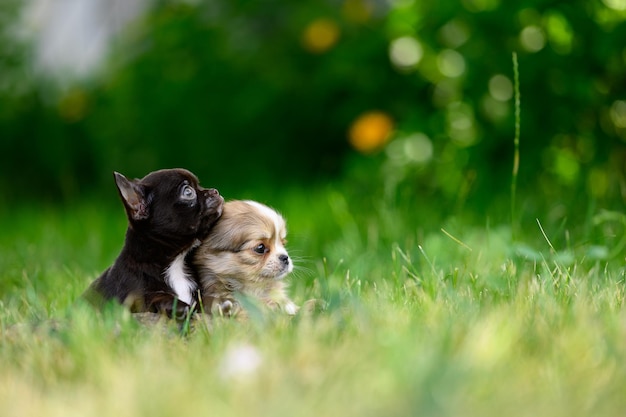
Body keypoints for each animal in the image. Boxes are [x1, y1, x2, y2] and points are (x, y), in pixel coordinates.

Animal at [83, 167, 222, 316]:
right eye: (188, 192)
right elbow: (155, 297)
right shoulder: (136, 299)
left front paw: (218, 304)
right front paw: (176, 306)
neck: (176, 262)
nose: (215, 191)